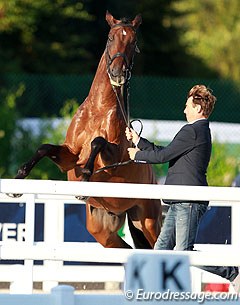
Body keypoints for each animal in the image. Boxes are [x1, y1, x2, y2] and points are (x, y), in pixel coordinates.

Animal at [14, 12, 161, 249]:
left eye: (134, 42)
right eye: (110, 38)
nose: (118, 74)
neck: (99, 110)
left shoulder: (112, 160)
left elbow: (97, 142)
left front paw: (85, 177)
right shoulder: (69, 157)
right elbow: (44, 148)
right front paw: (19, 179)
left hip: (148, 222)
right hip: (103, 230)